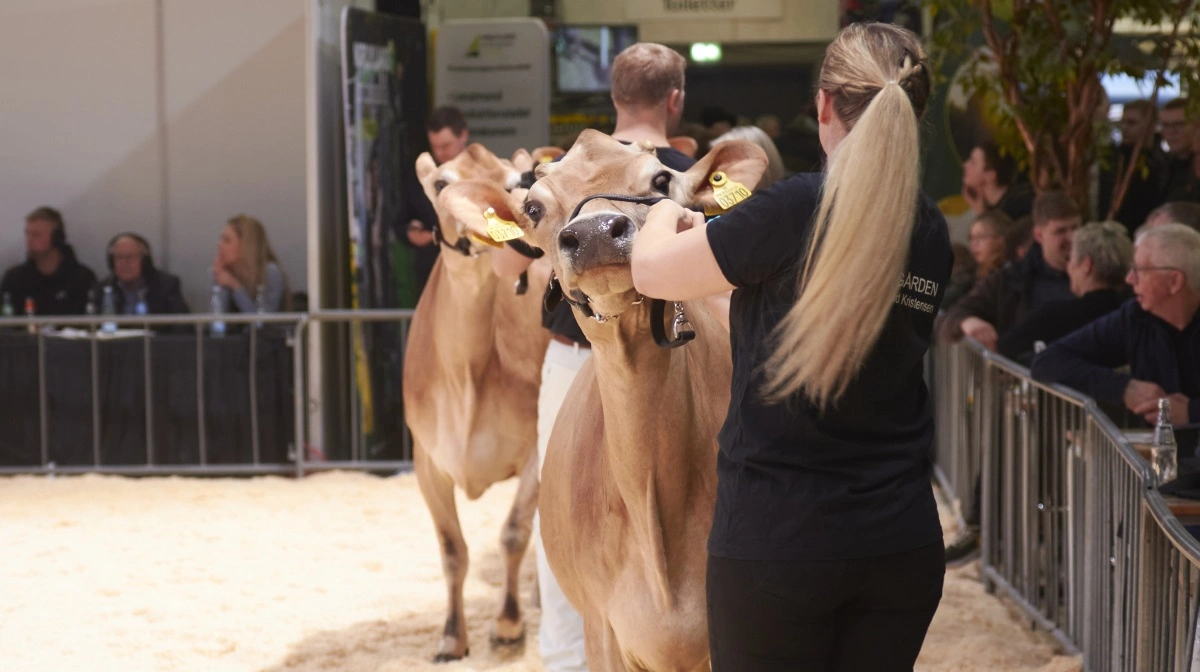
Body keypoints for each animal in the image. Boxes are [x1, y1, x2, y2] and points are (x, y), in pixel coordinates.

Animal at [405, 142, 549, 662]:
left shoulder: (536, 449)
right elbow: (452, 550)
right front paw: (452, 636)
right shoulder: (426, 459)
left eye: (508, 181)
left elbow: (514, 533)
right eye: (441, 183)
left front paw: (508, 626)